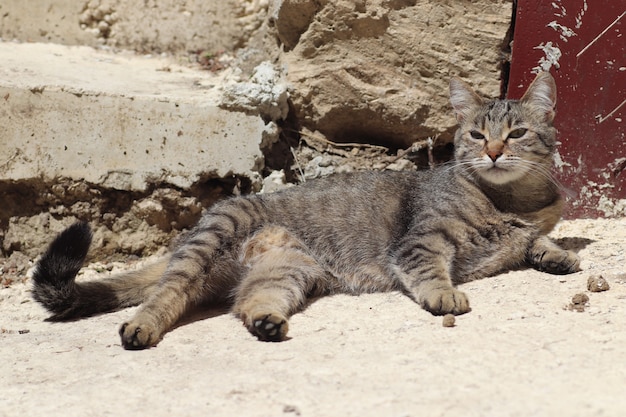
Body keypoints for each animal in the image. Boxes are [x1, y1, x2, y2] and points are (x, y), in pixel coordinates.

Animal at [31, 72, 576, 348]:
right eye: (477, 135)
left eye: (517, 133)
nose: (494, 152)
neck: (510, 198)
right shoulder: (420, 243)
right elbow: (431, 271)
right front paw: (446, 294)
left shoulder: (532, 223)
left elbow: (537, 238)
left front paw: (555, 253)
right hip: (214, 238)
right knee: (167, 291)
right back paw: (142, 325)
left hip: (287, 269)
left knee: (245, 302)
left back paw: (266, 322)